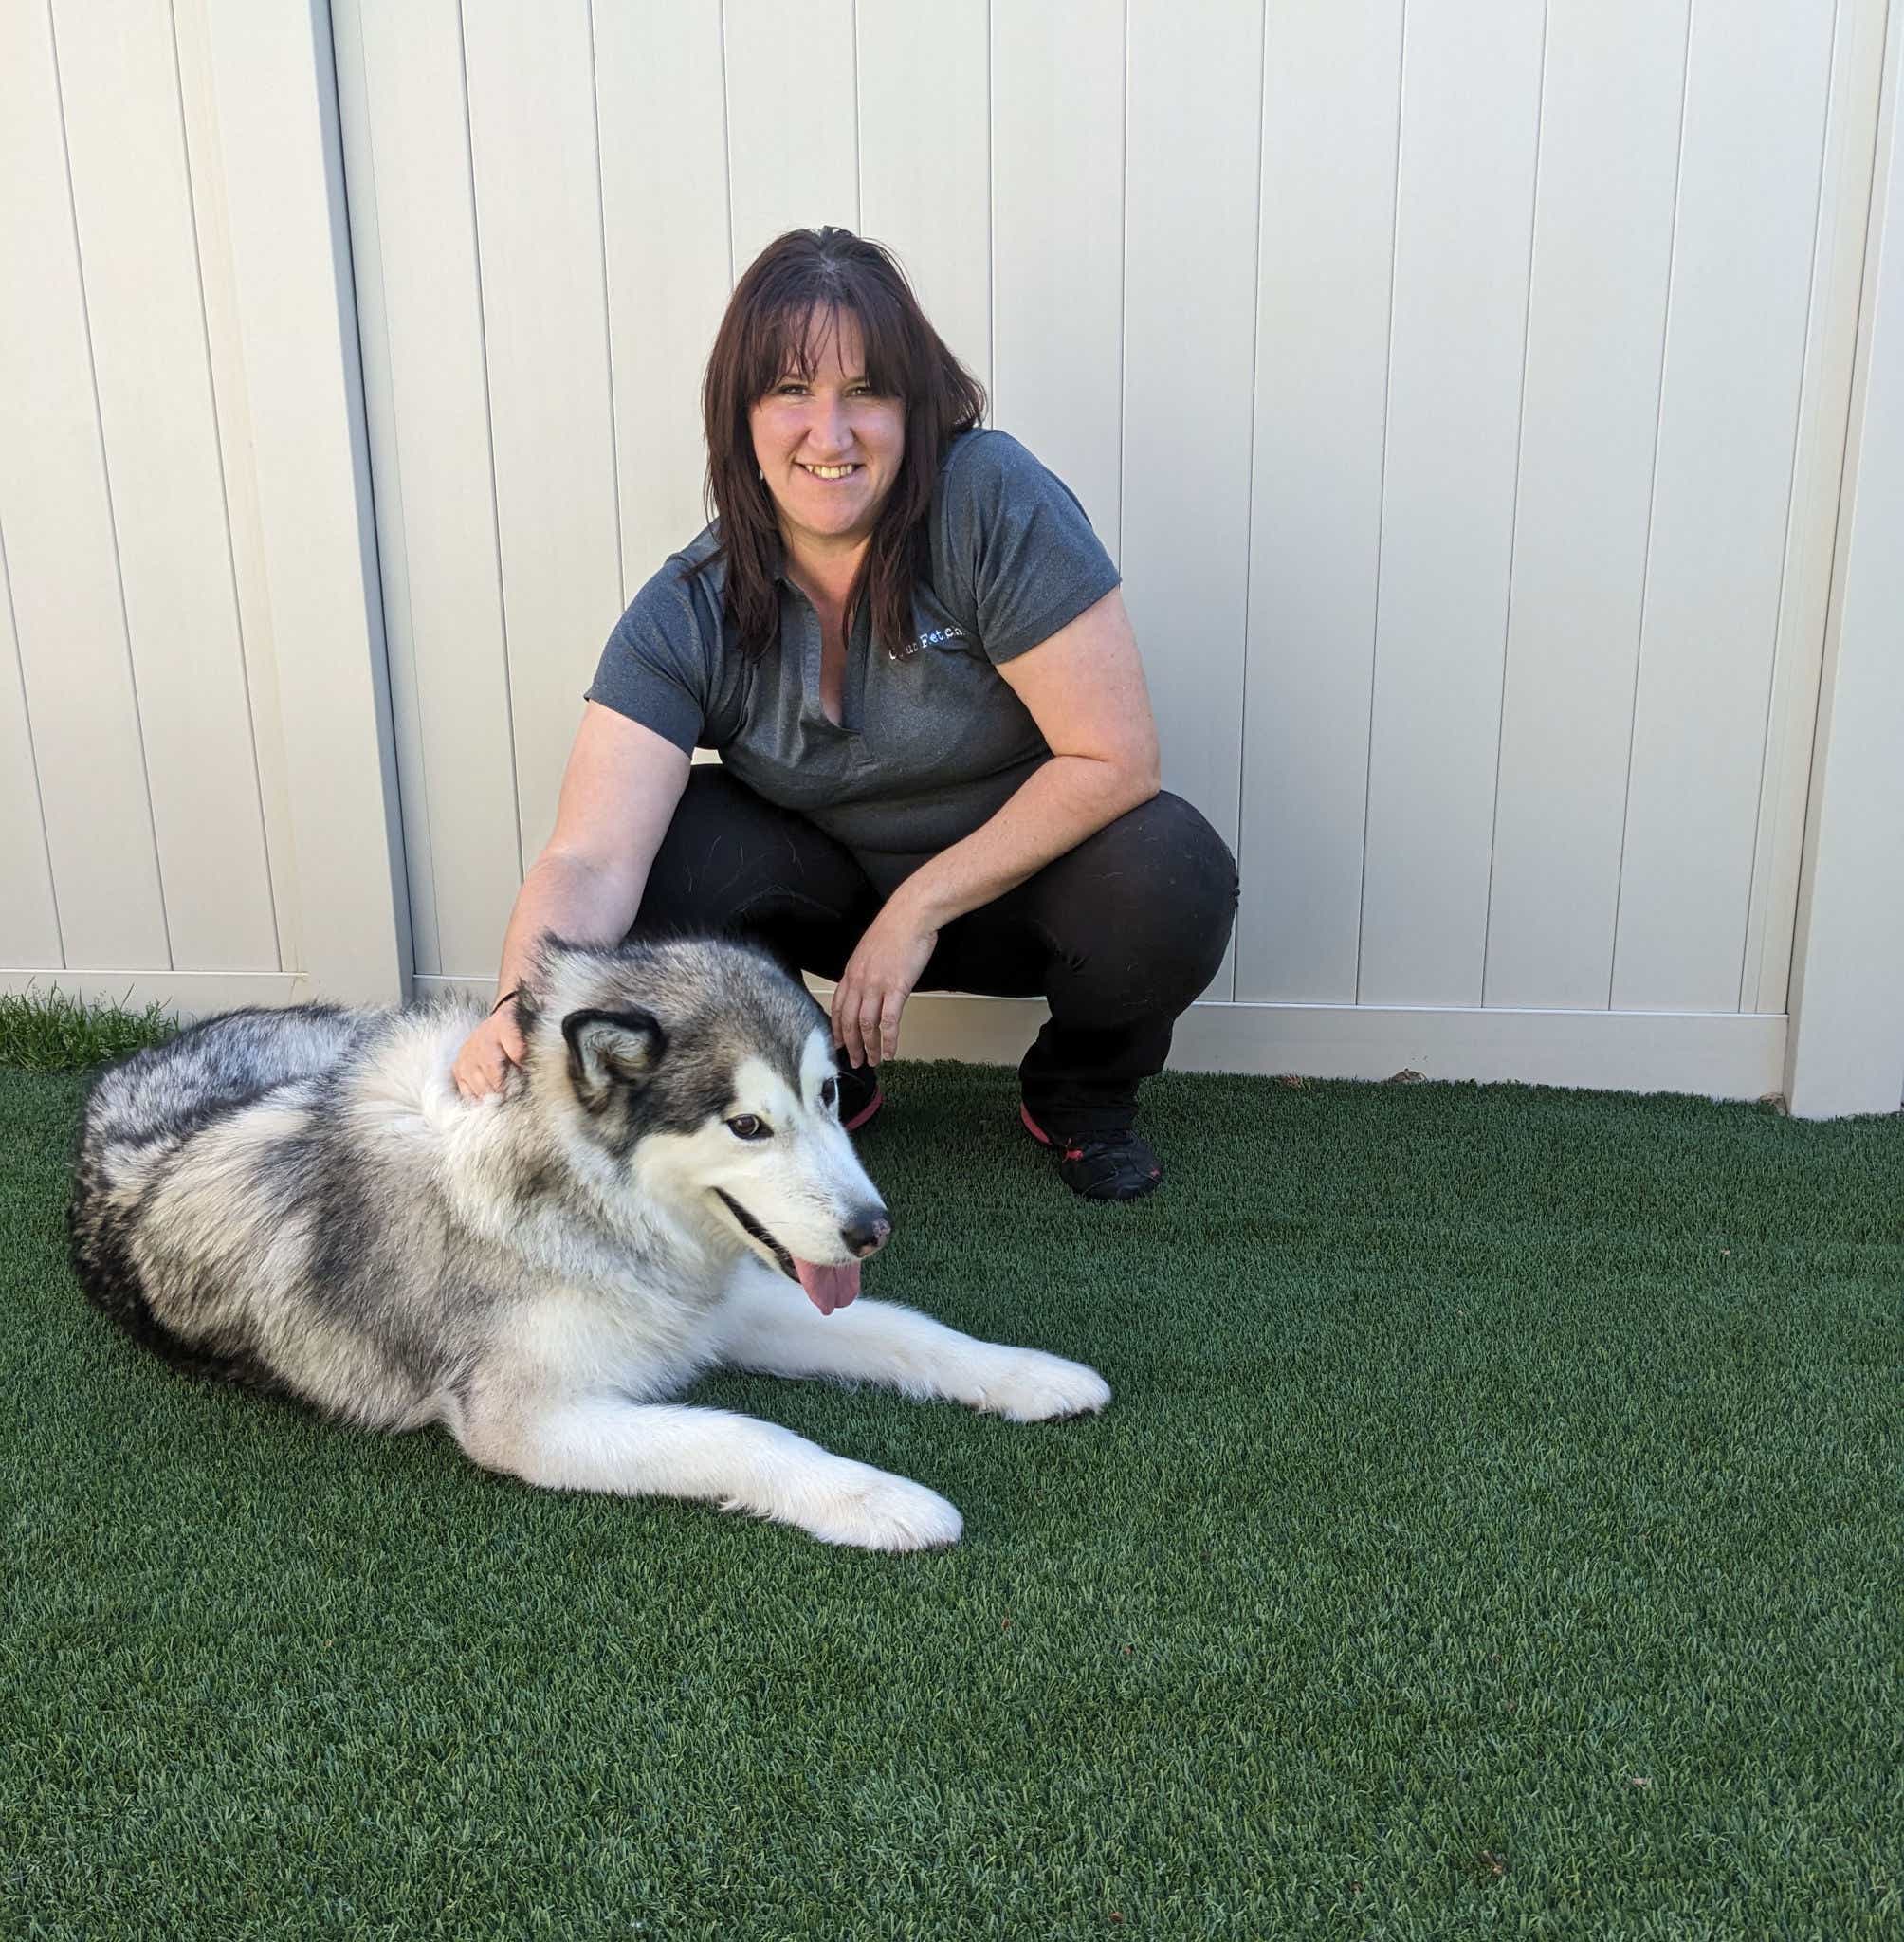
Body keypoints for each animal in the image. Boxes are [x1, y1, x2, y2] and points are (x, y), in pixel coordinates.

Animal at [70, 932, 1119, 1553]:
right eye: (748, 1126)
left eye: (828, 1095)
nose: (873, 1230)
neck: (582, 1196)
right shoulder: (524, 1422)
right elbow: (741, 1432)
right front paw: (874, 1497)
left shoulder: (718, 1301)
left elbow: (909, 1331)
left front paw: (1028, 1374)